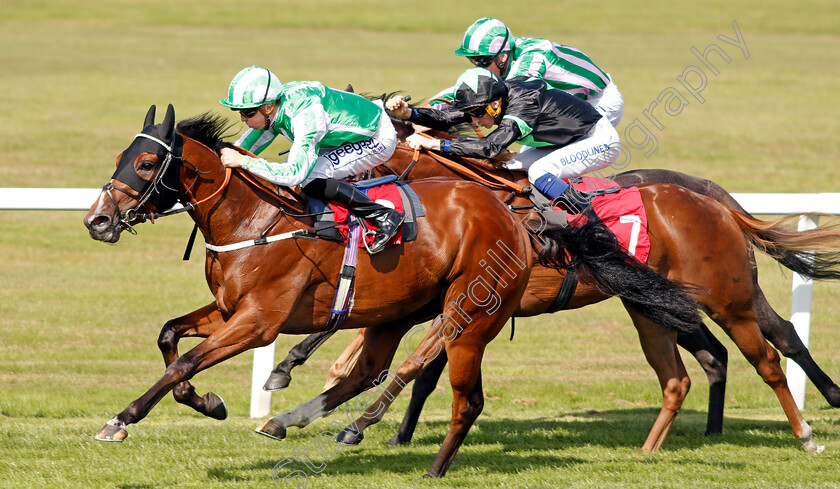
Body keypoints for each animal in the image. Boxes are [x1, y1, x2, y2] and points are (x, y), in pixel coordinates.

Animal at [83, 106, 704, 476]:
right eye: (120, 157)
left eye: (146, 161)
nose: (97, 220)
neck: (253, 219)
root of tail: (517, 221)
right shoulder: (230, 309)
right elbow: (170, 337)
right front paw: (207, 403)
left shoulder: (259, 321)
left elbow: (183, 361)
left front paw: (122, 419)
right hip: (399, 308)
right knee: (371, 369)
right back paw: (296, 420)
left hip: (469, 312)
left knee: (456, 390)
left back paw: (424, 463)